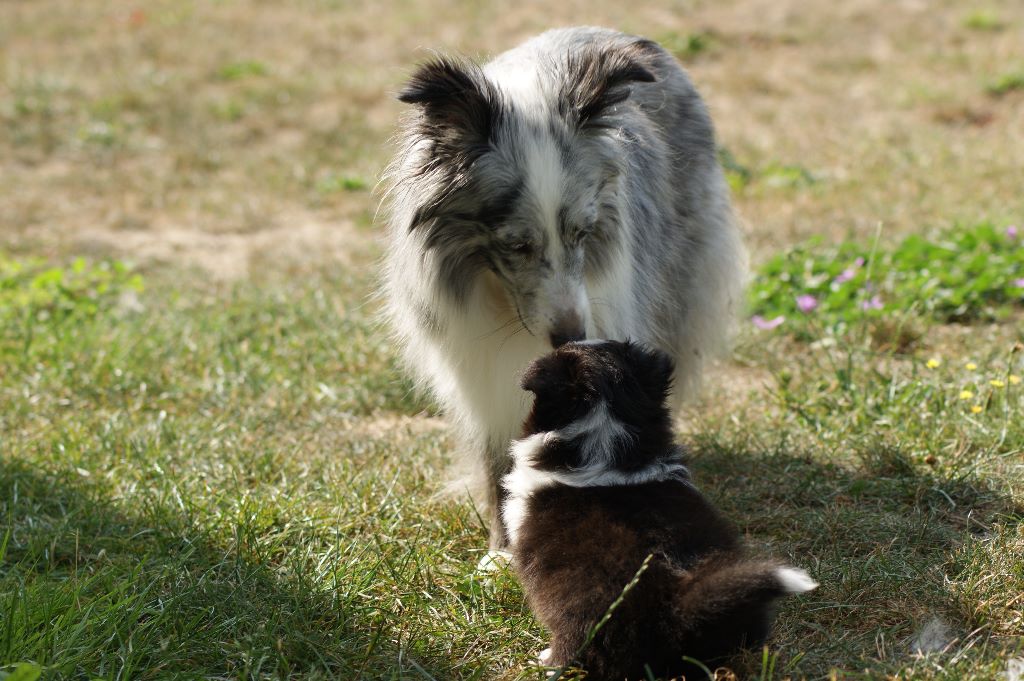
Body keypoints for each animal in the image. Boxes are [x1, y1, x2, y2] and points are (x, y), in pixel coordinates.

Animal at [382, 26, 745, 548]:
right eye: (516, 244)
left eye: (582, 232)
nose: (572, 337)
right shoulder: (477, 371)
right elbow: (496, 457)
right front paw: (500, 553)